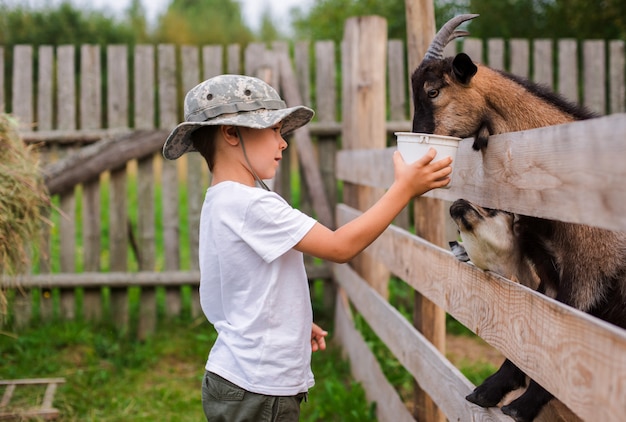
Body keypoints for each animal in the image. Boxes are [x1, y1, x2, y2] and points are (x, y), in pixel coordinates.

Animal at [410, 13, 624, 422]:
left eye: (433, 91)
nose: (418, 141)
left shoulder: (587, 273)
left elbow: (559, 345)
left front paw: (522, 405)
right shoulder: (547, 274)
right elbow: (528, 336)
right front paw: (489, 391)